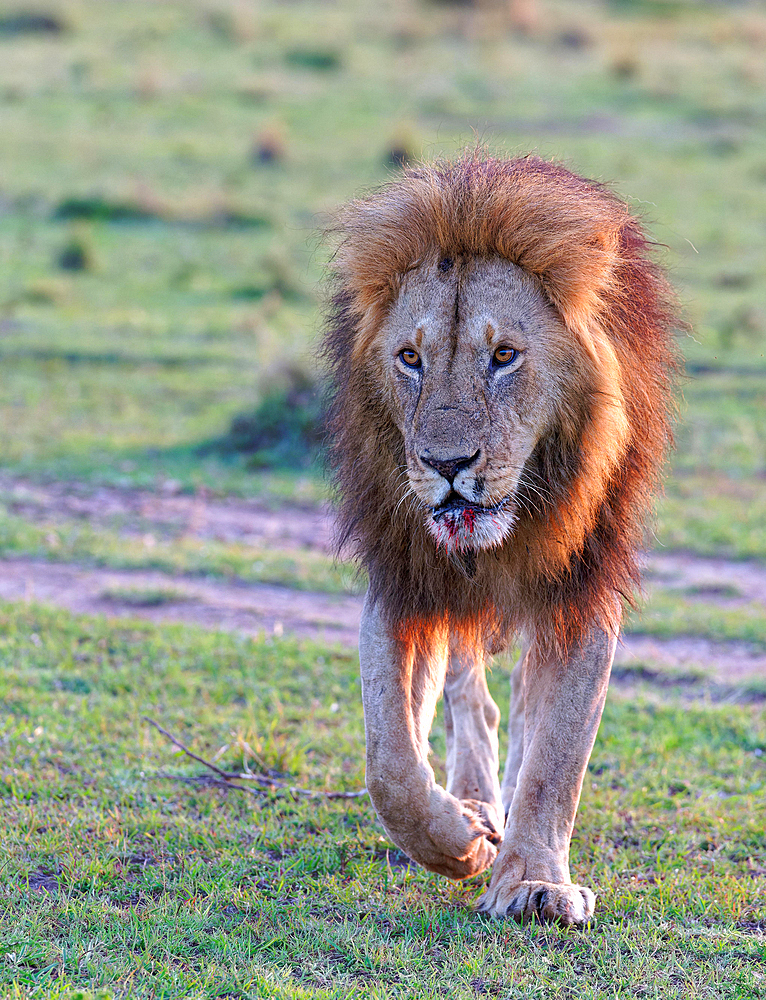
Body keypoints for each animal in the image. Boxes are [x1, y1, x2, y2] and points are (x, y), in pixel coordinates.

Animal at [320, 152, 680, 924]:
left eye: (506, 355)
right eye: (410, 358)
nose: (447, 465)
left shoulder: (585, 589)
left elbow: (558, 755)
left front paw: (535, 881)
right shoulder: (406, 578)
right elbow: (390, 762)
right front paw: (459, 842)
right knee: (468, 695)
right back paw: (478, 804)